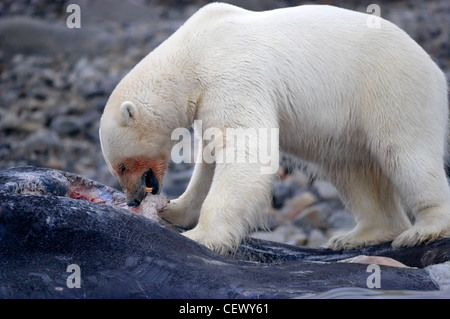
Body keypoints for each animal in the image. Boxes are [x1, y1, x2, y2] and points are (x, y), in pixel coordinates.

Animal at [99, 1, 450, 252]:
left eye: (122, 166)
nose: (133, 199)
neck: (193, 52)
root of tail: (434, 68)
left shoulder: (230, 74)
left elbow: (246, 148)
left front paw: (202, 237)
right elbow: (210, 159)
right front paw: (173, 210)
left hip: (391, 88)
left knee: (404, 152)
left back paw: (425, 229)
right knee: (352, 171)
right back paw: (360, 235)